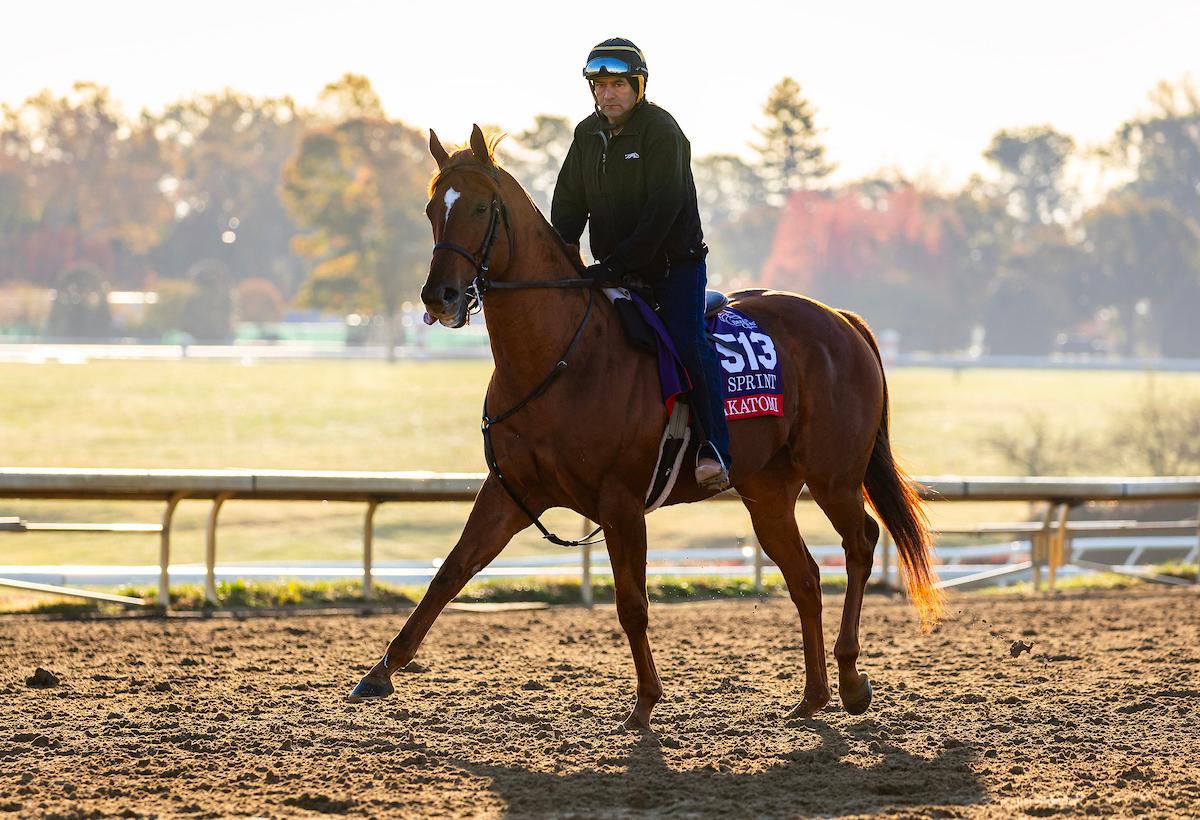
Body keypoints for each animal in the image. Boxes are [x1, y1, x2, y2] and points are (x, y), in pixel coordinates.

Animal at [348, 125, 943, 728]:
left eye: (478, 206)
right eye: (431, 209)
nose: (439, 296)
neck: (558, 357)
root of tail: (843, 320)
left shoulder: (620, 502)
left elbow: (632, 604)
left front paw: (644, 703)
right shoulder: (511, 492)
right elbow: (450, 571)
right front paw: (378, 673)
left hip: (833, 475)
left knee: (861, 543)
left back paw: (850, 680)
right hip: (768, 491)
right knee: (805, 577)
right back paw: (813, 694)